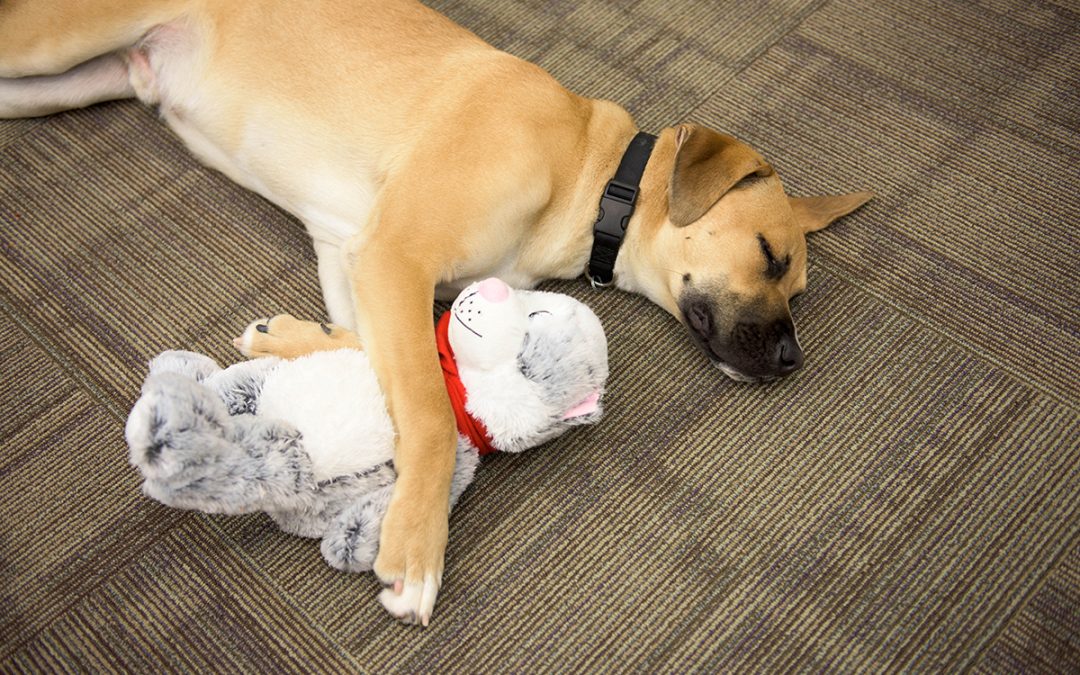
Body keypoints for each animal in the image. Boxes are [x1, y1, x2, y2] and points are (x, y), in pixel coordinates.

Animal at [0, 0, 868, 622]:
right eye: (770, 255)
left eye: (795, 290)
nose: (792, 359)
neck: (590, 173)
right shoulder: (395, 251)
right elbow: (426, 405)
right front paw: (416, 544)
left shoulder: (356, 252)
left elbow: (375, 349)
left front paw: (286, 338)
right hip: (48, 43)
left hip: (56, 84)